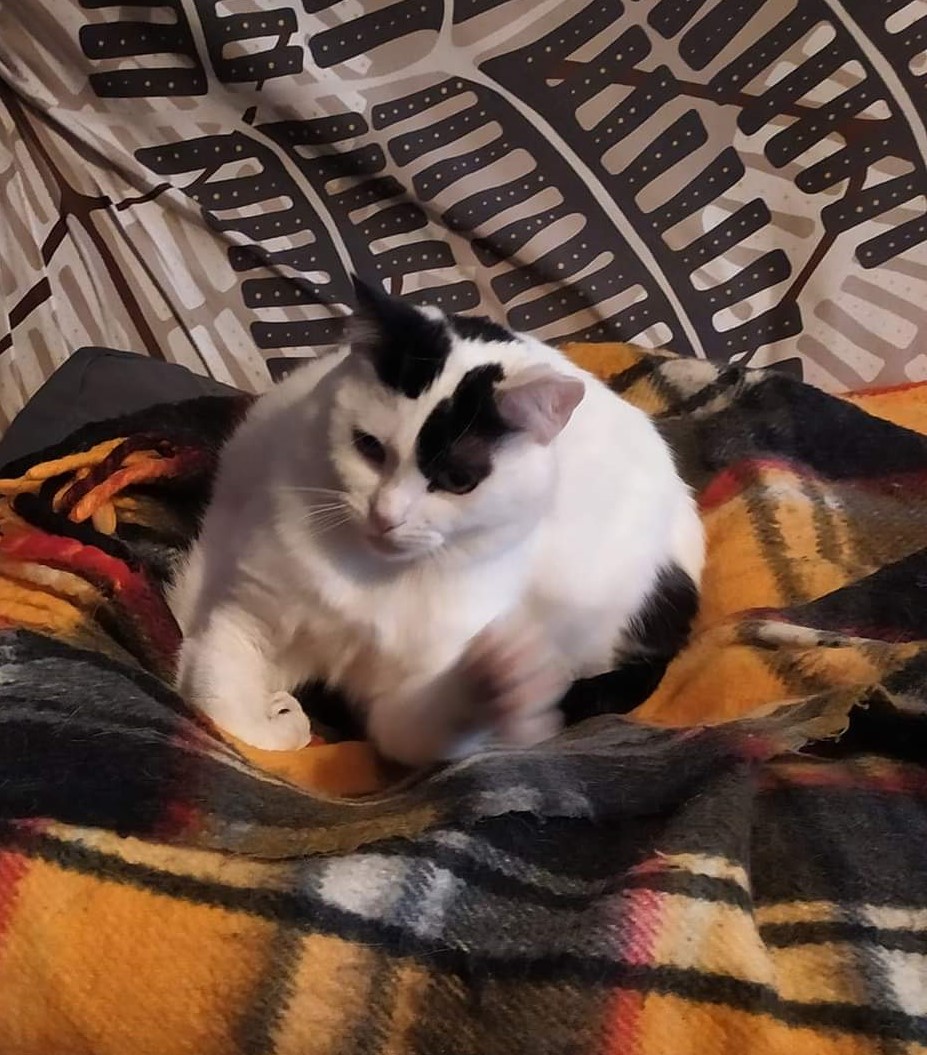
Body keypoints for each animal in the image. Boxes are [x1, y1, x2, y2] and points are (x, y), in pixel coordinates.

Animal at [167, 278, 705, 766]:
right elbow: (221, 701)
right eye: (369, 447)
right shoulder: (246, 615)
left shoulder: (410, 694)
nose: (385, 515)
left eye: (458, 480)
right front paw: (278, 725)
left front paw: (496, 681)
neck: (369, 581)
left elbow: (420, 724)